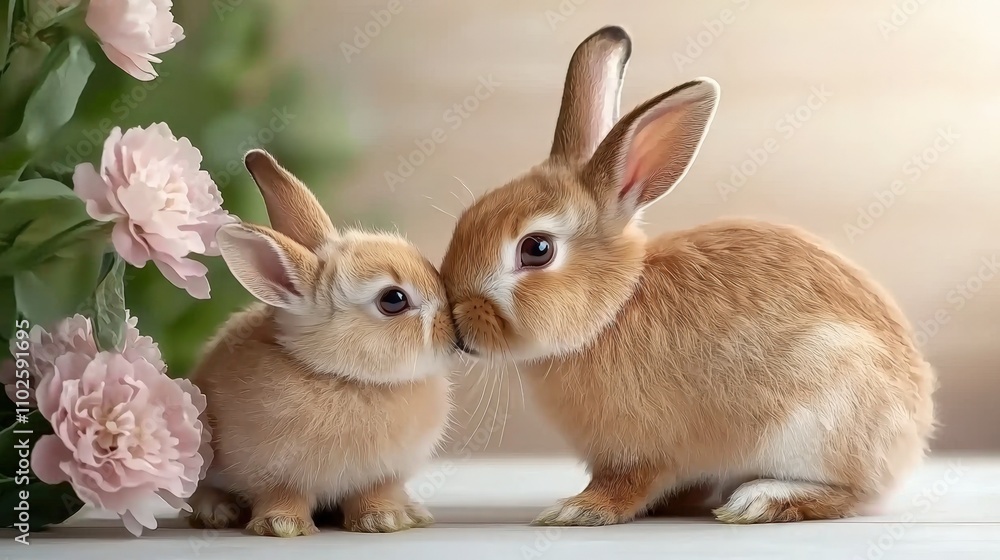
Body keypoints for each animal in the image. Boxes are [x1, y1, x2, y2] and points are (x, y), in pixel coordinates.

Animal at [185, 149, 457, 537]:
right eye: (393, 300)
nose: (454, 330)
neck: (344, 377)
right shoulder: (274, 474)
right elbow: (283, 496)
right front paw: (281, 525)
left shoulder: (380, 476)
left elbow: (373, 495)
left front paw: (384, 520)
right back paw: (216, 513)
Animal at [438, 25, 936, 526]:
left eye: (536, 249)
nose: (457, 320)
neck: (613, 309)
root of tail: (914, 433)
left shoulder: (639, 451)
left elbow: (624, 485)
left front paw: (575, 510)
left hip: (819, 413)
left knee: (851, 494)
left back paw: (760, 499)